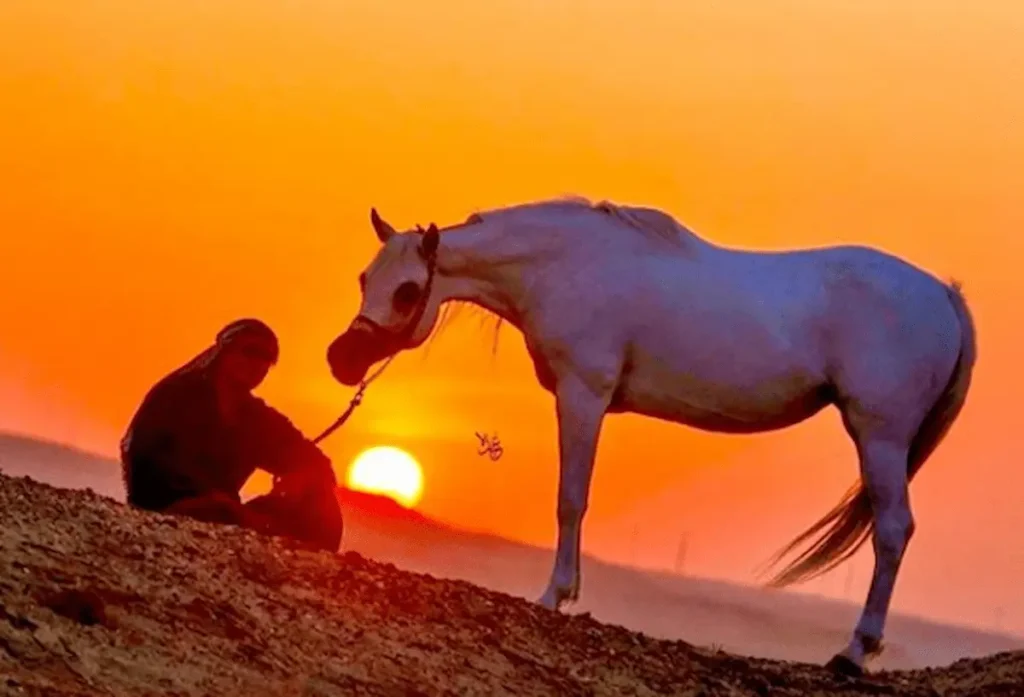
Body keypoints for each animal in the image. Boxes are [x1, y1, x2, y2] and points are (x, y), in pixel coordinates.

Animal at [326, 196, 976, 676]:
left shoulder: (582, 395)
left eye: (408, 290)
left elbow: (571, 499)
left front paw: (555, 594)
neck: (564, 265)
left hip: (880, 437)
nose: (341, 360)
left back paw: (853, 651)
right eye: (362, 278)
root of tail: (944, 295)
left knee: (893, 532)